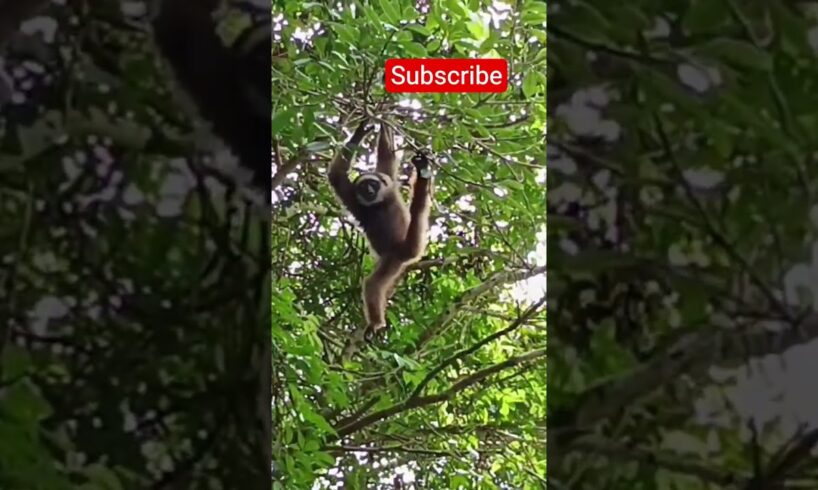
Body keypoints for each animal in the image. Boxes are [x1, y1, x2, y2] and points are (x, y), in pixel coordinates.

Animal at [328, 120, 433, 339]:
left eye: (372, 184)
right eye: (364, 186)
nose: (368, 190)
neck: (379, 205)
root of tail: (404, 250)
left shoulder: (389, 188)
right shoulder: (357, 200)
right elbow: (339, 175)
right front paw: (366, 128)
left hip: (395, 258)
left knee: (373, 285)